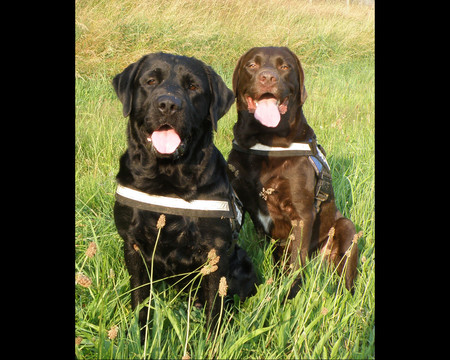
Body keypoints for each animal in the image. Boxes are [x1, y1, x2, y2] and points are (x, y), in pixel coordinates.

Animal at [111, 52, 256, 338]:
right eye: (150, 81)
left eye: (193, 87)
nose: (168, 104)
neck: (167, 179)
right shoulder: (132, 245)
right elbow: (140, 299)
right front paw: (140, 336)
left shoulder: (216, 252)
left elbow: (215, 304)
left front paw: (213, 341)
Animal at [229, 47, 358, 296]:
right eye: (251, 65)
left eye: (284, 66)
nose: (267, 77)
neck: (265, 142)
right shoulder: (239, 204)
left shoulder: (302, 215)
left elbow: (296, 261)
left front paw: (289, 294)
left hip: (346, 228)